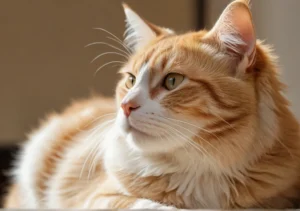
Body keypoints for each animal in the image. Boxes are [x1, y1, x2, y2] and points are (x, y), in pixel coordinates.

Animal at [3, 0, 300, 208]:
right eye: (131, 80)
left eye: (172, 81)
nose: (125, 106)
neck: (202, 170)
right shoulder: (100, 197)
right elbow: (152, 205)